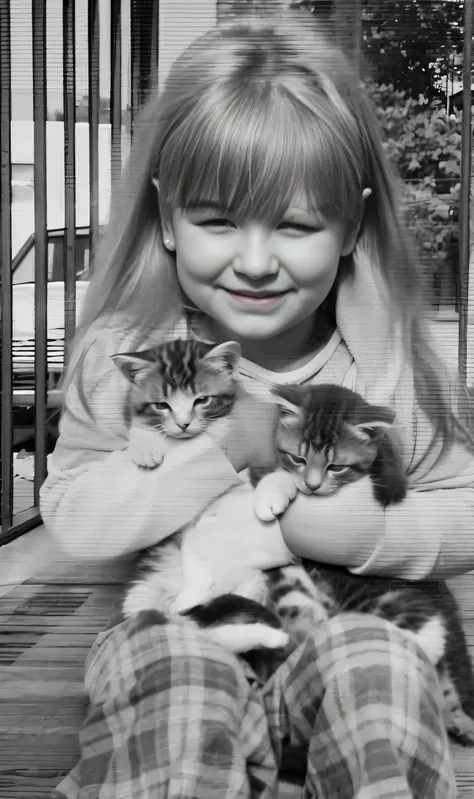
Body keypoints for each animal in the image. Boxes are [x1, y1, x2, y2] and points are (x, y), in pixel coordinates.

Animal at [250, 384, 474, 748]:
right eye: (298, 457)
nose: (312, 485)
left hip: (386, 598)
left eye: (336, 465)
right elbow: (275, 472)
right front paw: (272, 490)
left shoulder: (387, 481)